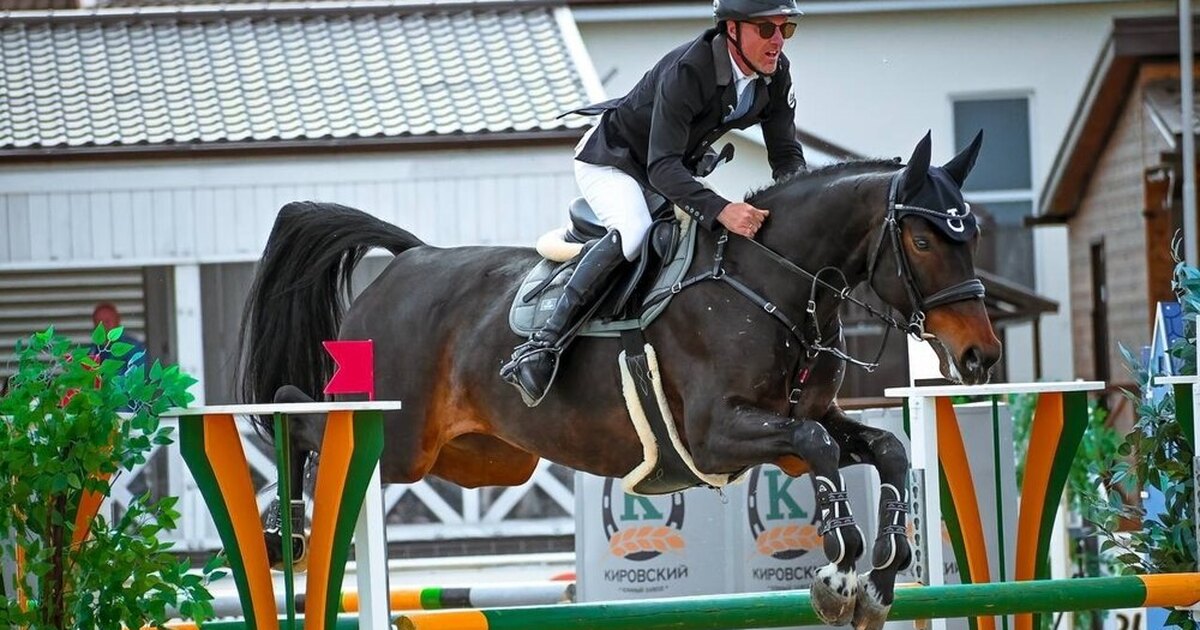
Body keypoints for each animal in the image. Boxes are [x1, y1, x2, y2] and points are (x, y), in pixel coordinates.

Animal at [237, 131, 1001, 630]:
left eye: (971, 235)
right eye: (924, 240)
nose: (980, 358)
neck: (770, 285)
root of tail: (405, 262)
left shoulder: (791, 425)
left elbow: (885, 449)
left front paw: (880, 577)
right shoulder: (718, 435)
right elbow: (817, 448)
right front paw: (839, 570)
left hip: (483, 460)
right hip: (398, 438)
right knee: (296, 412)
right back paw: (282, 530)